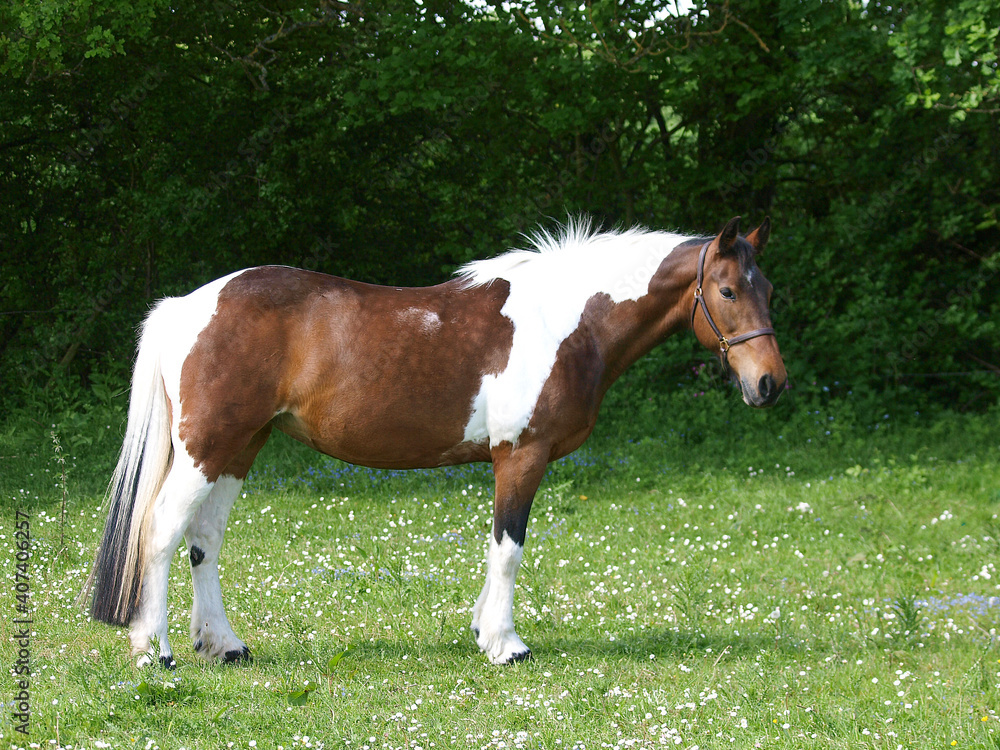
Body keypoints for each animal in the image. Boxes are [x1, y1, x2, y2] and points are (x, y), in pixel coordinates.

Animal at [81, 215, 786, 667]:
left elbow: (495, 547)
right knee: (161, 532)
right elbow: (509, 547)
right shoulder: (521, 456)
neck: (566, 323)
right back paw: (154, 651)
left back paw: (224, 645)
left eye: (769, 289)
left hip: (237, 448)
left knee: (204, 541)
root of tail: (185, 306)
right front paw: (505, 645)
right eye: (727, 290)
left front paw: (481, 630)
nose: (770, 384)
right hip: (206, 449)